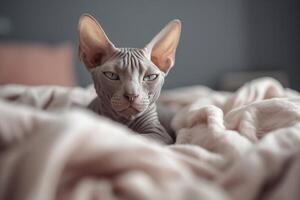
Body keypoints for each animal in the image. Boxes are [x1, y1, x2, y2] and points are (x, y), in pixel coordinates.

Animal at [77, 14, 180, 145]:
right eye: (111, 75)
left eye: (150, 77)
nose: (131, 95)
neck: (123, 122)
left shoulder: (159, 134)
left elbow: (135, 138)